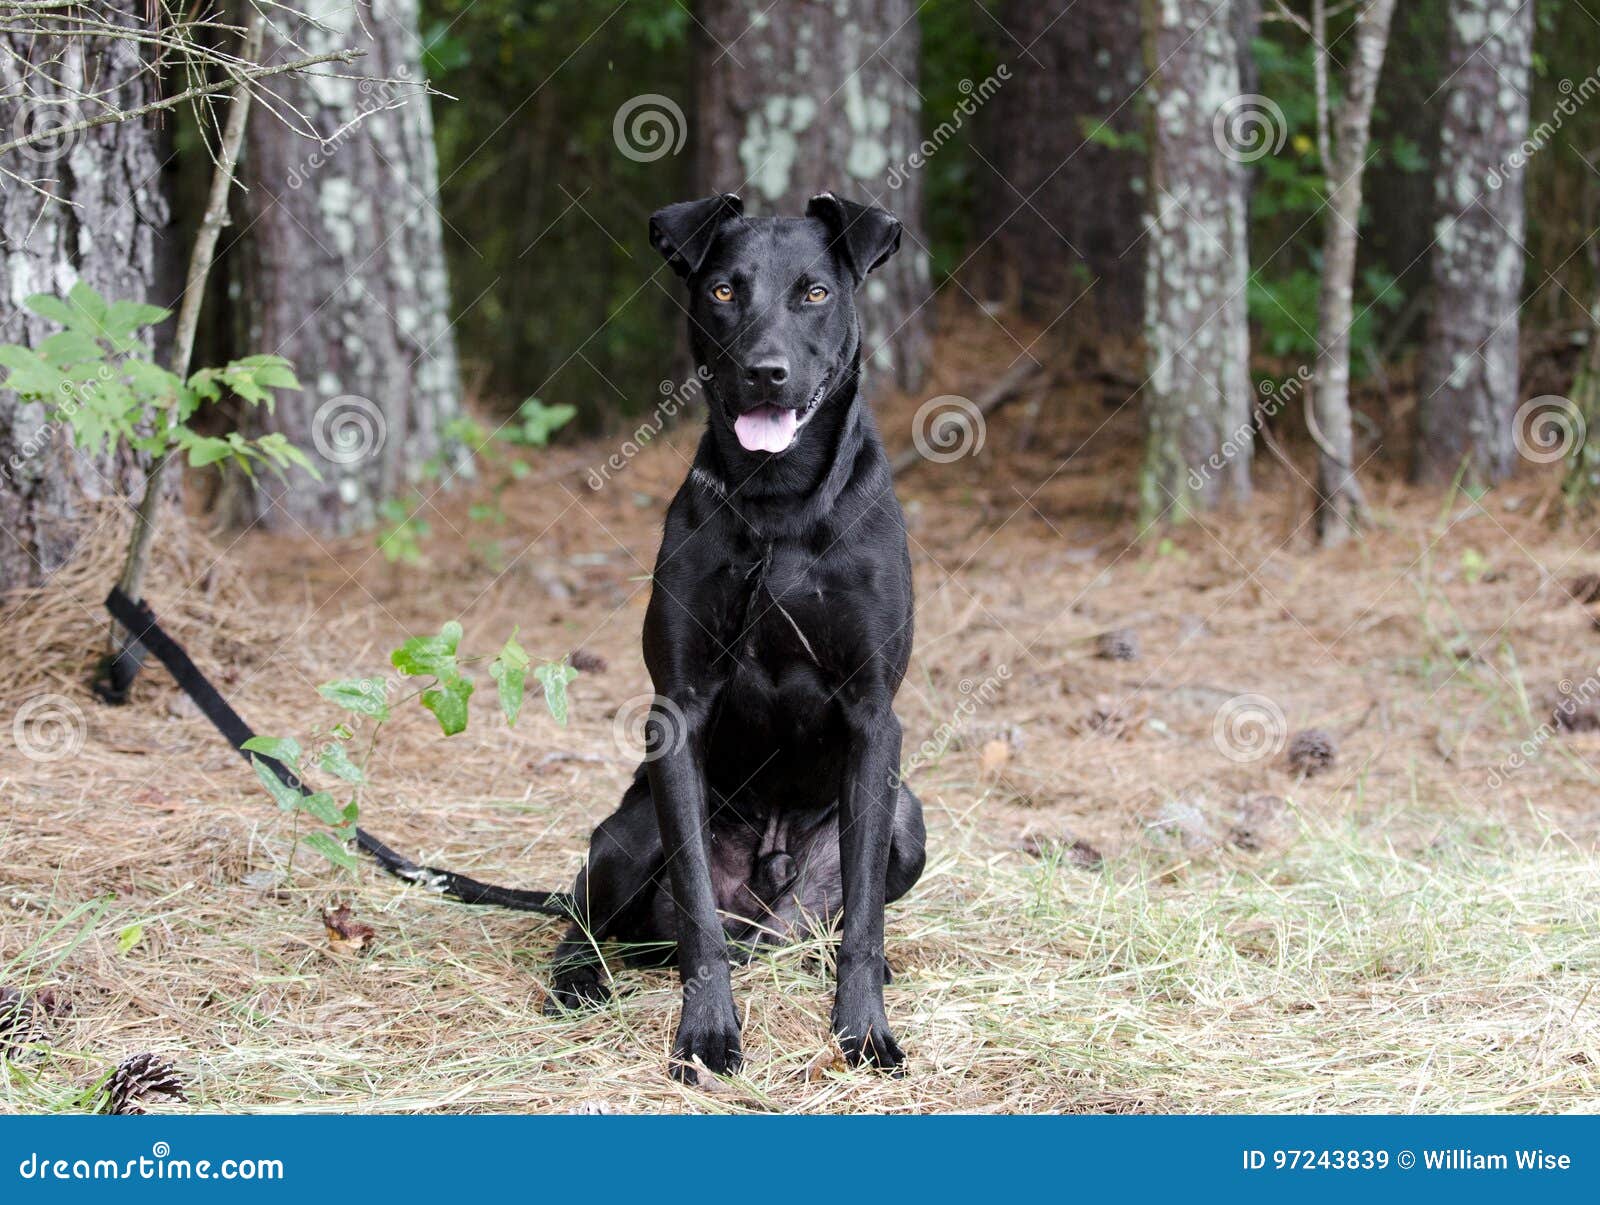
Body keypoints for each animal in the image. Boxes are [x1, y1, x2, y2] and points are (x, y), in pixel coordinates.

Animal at [544, 190, 928, 1081]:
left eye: (815, 292)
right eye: (723, 290)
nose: (765, 370)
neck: (779, 503)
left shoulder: (873, 716)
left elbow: (864, 917)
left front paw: (864, 1028)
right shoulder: (676, 713)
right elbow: (695, 912)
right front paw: (708, 1030)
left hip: (905, 819)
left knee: (838, 915)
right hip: (629, 830)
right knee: (582, 914)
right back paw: (580, 977)